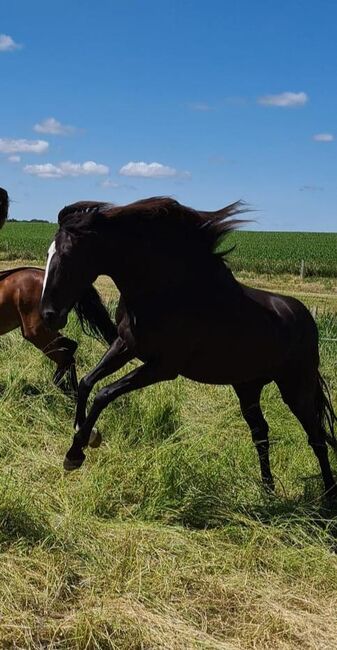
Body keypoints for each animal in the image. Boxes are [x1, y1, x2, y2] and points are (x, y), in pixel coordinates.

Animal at [40, 196, 336, 496]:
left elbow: (104, 393)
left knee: (316, 437)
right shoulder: (126, 346)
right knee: (261, 433)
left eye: (66, 255)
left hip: (295, 387)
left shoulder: (163, 367)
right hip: (248, 387)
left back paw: (327, 494)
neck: (162, 291)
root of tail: (305, 317)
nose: (48, 315)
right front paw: (82, 440)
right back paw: (268, 490)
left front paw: (77, 451)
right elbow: (87, 382)